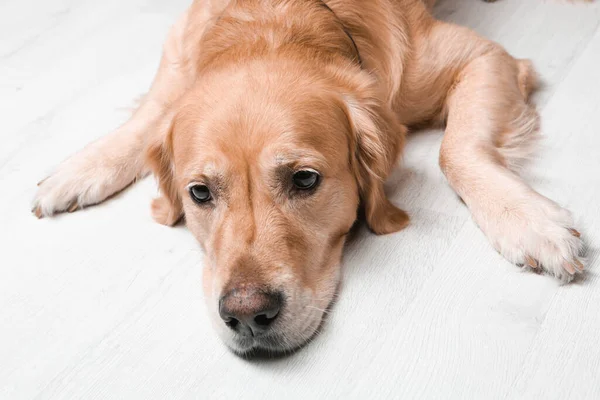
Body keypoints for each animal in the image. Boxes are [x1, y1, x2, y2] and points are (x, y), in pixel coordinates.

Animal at [31, 0, 580, 354]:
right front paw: (77, 170)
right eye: (199, 192)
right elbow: (146, 118)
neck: (273, 24)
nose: (246, 315)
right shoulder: (177, 57)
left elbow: (456, 149)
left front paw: (527, 220)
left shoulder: (486, 57)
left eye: (305, 180)